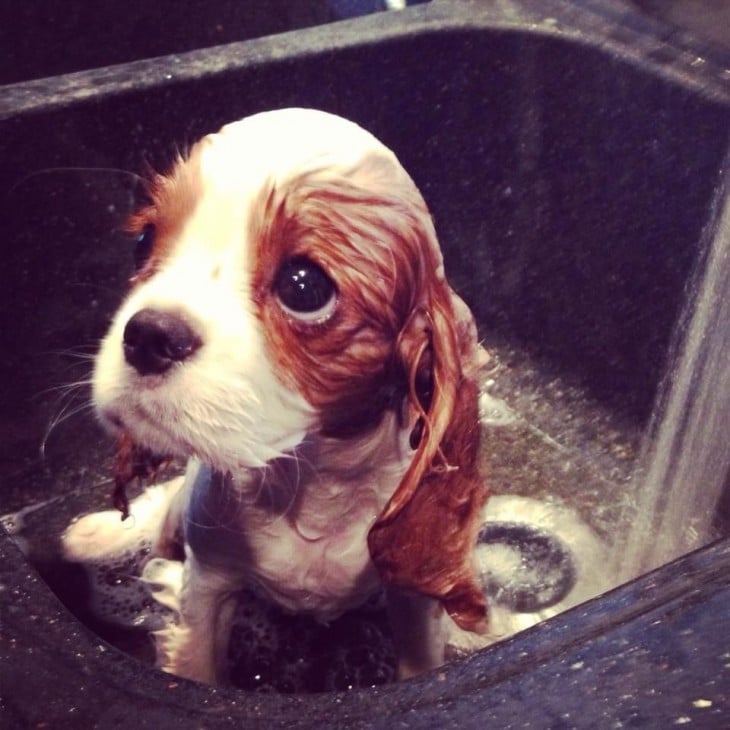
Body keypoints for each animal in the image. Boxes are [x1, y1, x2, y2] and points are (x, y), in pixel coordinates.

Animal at [64, 109, 490, 684]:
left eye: (304, 286)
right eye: (144, 241)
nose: (149, 335)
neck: (305, 486)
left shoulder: (412, 606)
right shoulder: (209, 583)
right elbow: (198, 660)